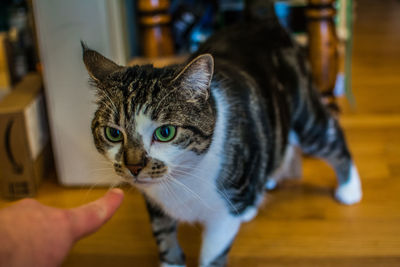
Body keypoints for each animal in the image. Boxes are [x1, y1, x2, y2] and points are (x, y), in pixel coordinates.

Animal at [82, 9, 362, 266]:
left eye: (165, 132)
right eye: (113, 133)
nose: (133, 166)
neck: (181, 179)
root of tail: (262, 19)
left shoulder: (223, 216)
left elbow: (213, 252)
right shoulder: (155, 204)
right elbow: (165, 239)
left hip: (304, 113)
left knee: (330, 136)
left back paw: (349, 189)